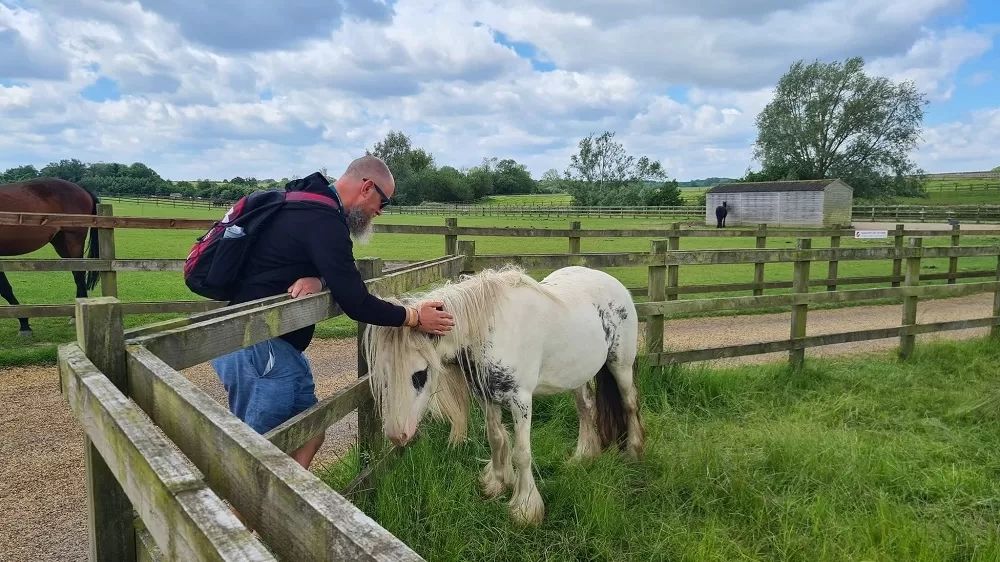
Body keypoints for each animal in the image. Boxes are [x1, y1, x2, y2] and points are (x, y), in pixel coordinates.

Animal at [0, 177, 101, 334]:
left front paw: (24, 324)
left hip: (73, 240)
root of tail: (81, 188)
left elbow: (4, 288)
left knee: (79, 274)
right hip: (61, 244)